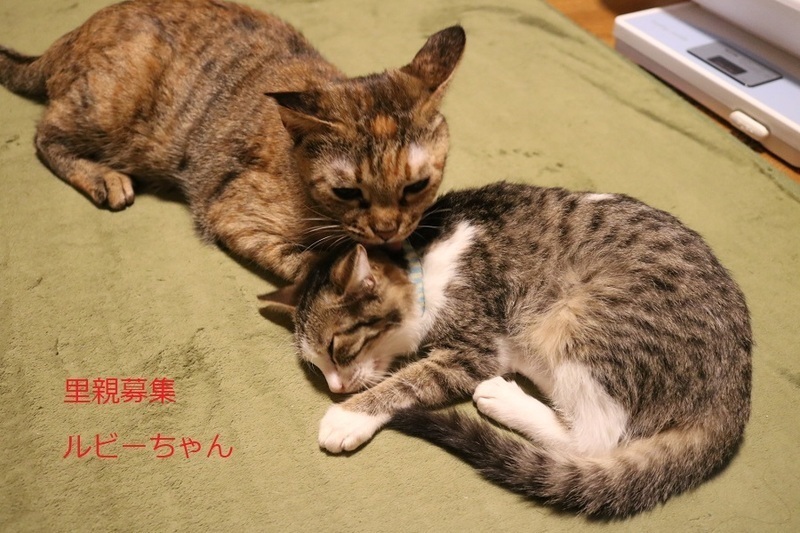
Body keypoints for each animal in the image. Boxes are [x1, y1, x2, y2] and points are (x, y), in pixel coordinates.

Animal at [0, 0, 465, 281]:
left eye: (416, 186)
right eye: (347, 192)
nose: (386, 230)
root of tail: (72, 33)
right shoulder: (232, 214)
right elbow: (306, 264)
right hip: (110, 103)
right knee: (44, 135)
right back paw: (104, 178)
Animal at [261, 181, 753, 518]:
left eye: (337, 348)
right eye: (315, 365)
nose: (336, 388)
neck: (425, 257)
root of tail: (736, 394)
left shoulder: (475, 349)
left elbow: (409, 381)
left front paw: (349, 417)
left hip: (582, 323)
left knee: (596, 438)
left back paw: (501, 397)